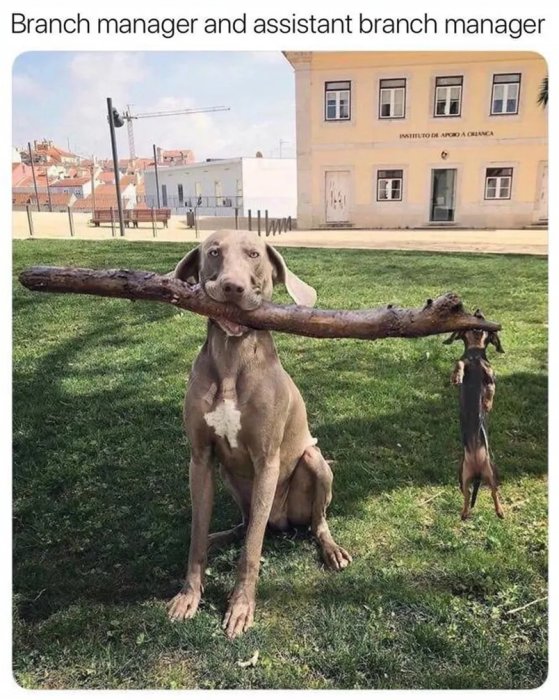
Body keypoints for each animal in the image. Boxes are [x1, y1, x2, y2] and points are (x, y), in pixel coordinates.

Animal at [446, 312, 508, 520]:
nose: (478, 311)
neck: (474, 354)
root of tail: (478, 472)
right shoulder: (465, 362)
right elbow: (459, 363)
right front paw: (456, 376)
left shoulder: (490, 373)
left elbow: (491, 383)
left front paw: (487, 403)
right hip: (462, 476)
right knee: (467, 495)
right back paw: (465, 513)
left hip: (493, 473)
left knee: (494, 493)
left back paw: (500, 511)